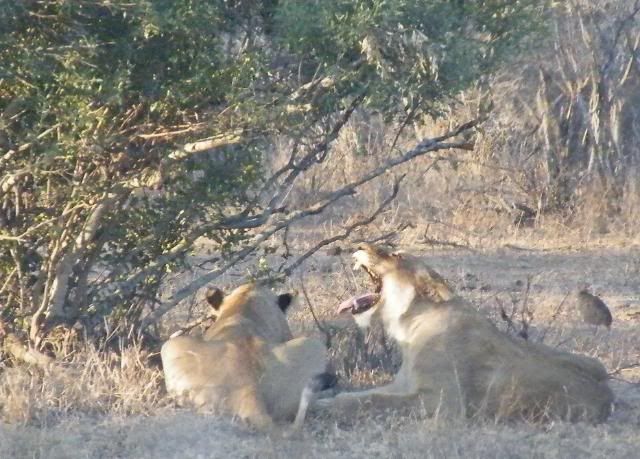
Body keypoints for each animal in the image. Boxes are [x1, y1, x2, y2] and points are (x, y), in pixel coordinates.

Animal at [321, 244, 614, 423]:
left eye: (397, 256)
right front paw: (326, 396)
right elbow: (362, 395)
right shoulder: (402, 385)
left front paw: (324, 406)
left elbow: (372, 401)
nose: (360, 246)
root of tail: (607, 396)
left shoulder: (442, 403)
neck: (410, 323)